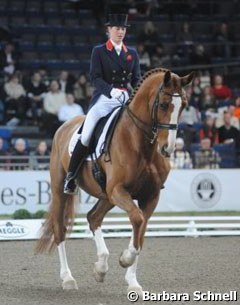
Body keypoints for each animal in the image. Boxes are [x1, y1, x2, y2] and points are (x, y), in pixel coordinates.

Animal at [35, 67, 193, 296]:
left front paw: (133, 282)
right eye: (163, 104)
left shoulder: (150, 196)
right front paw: (125, 259)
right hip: (61, 190)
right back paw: (68, 279)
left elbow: (140, 231)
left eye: (184, 105)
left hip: (107, 196)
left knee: (93, 218)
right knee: (60, 230)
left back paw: (101, 267)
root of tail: (64, 126)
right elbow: (136, 219)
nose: (167, 149)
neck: (141, 144)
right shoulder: (118, 189)